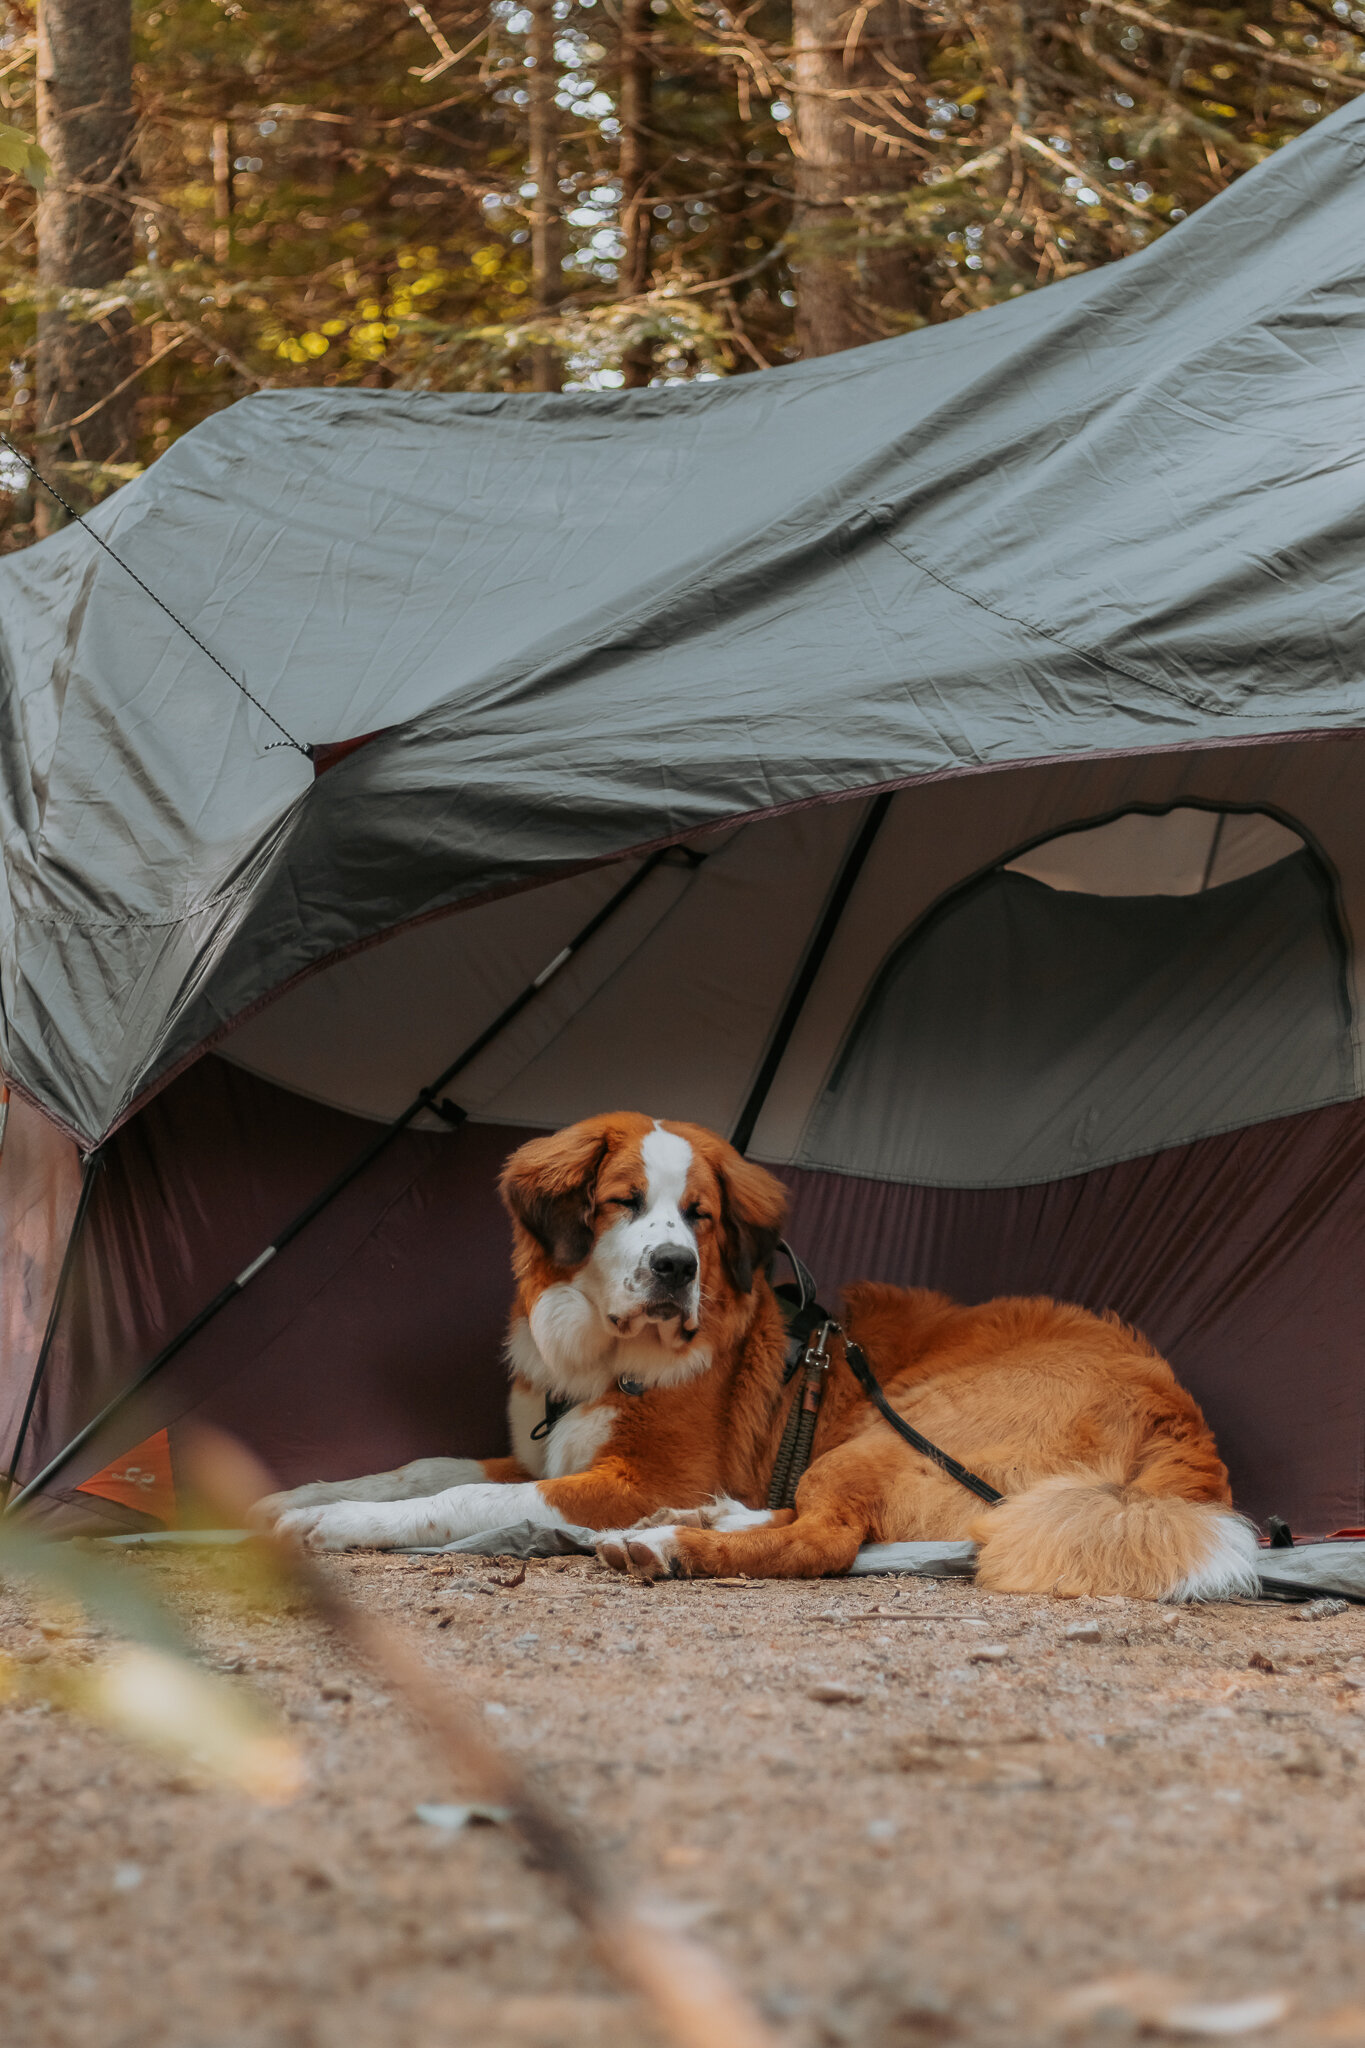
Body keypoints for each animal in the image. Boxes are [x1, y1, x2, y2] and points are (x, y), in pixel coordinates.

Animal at [255, 1105, 1260, 1597]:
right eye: (622, 1202)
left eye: (699, 1215)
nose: (674, 1267)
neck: (597, 1355)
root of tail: (1179, 1418)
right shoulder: (542, 1448)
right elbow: (420, 1467)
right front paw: (298, 1495)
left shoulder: (631, 1477)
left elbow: (458, 1499)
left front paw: (331, 1525)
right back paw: (705, 1522)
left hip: (894, 1429)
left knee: (827, 1540)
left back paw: (671, 1547)